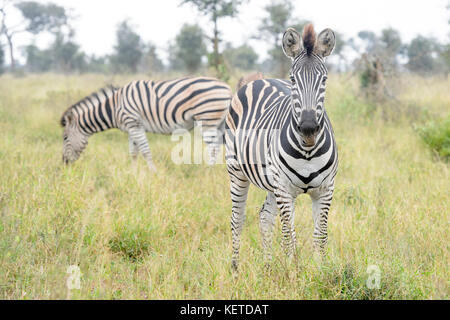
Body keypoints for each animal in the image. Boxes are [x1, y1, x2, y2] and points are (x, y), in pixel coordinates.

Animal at [60, 76, 232, 170]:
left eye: (65, 138)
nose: (64, 163)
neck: (114, 107)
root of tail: (226, 87)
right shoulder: (130, 128)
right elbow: (134, 152)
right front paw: (134, 173)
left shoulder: (134, 123)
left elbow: (145, 150)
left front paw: (152, 172)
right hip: (220, 122)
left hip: (208, 119)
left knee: (214, 148)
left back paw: (208, 170)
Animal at [225, 23, 338, 272]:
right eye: (293, 79)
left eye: (324, 80)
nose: (308, 128)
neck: (308, 151)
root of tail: (261, 79)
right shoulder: (285, 191)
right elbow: (289, 238)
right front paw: (293, 274)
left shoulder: (325, 190)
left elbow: (321, 236)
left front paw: (320, 272)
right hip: (237, 171)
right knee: (238, 218)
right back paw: (235, 268)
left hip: (271, 181)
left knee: (265, 217)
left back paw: (267, 267)